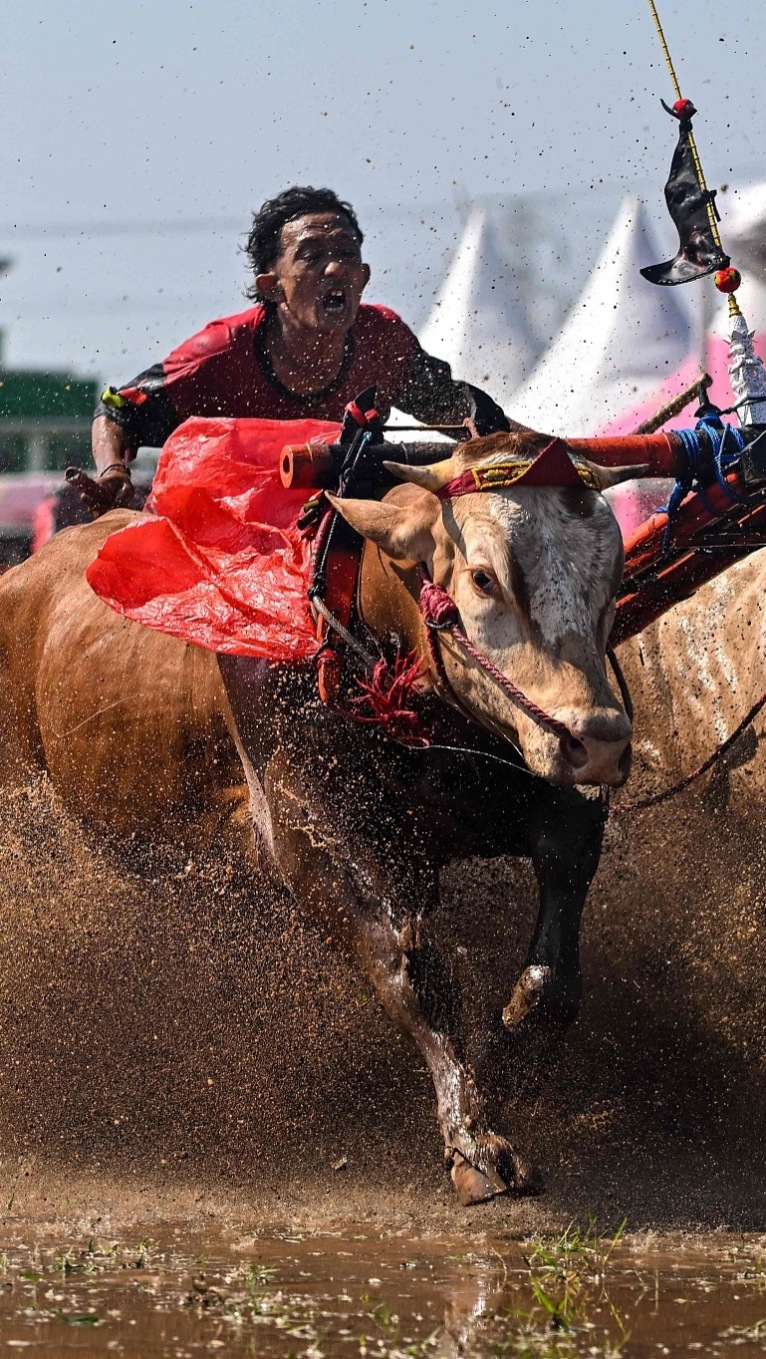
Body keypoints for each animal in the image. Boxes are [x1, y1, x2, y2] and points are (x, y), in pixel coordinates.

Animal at [0, 429, 635, 1206]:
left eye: (610, 573)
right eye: (483, 578)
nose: (598, 738)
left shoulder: (540, 789)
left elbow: (553, 961)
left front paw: (510, 1053)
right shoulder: (313, 831)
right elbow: (410, 968)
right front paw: (474, 1137)